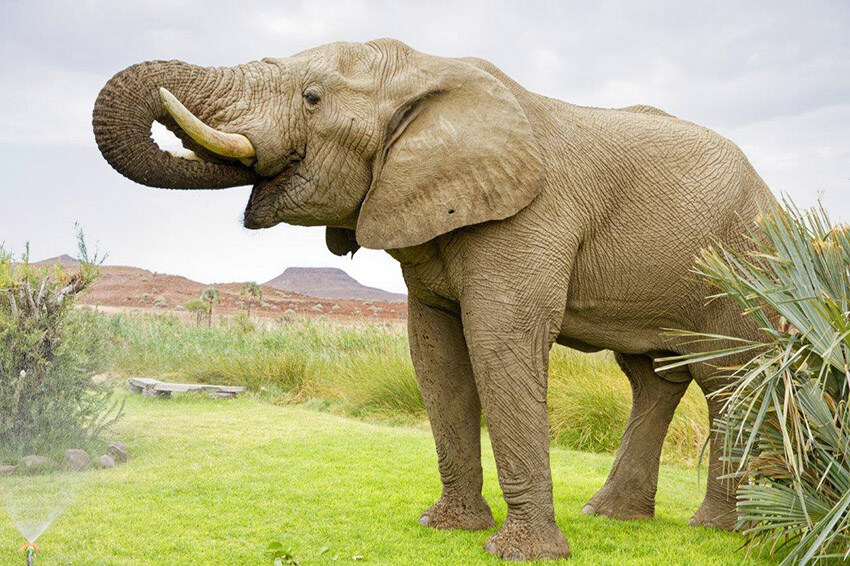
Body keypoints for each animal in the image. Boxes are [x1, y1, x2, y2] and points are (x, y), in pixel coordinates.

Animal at [93, 40, 776, 564]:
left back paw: (717, 530)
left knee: (725, 377)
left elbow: (500, 342)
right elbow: (435, 355)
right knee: (656, 377)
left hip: (741, 262)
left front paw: (519, 555)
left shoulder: (529, 215)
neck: (428, 71)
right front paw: (445, 528)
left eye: (313, 98)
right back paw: (613, 517)